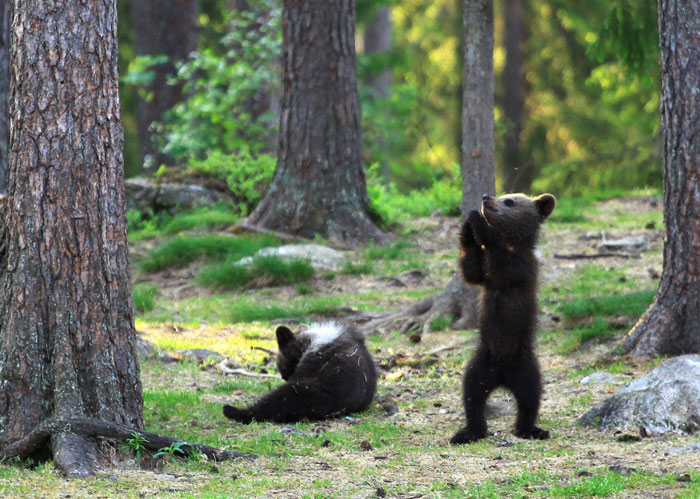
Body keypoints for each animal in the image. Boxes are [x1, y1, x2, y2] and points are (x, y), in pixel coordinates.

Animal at [450, 192, 556, 445]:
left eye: (510, 201)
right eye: (504, 195)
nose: (486, 196)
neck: (513, 242)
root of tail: (502, 376)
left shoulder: (521, 269)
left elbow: (504, 262)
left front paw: (480, 224)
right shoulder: (485, 279)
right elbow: (471, 271)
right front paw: (468, 227)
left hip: (524, 365)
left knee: (530, 397)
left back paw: (531, 429)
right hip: (481, 363)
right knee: (472, 394)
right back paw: (468, 432)